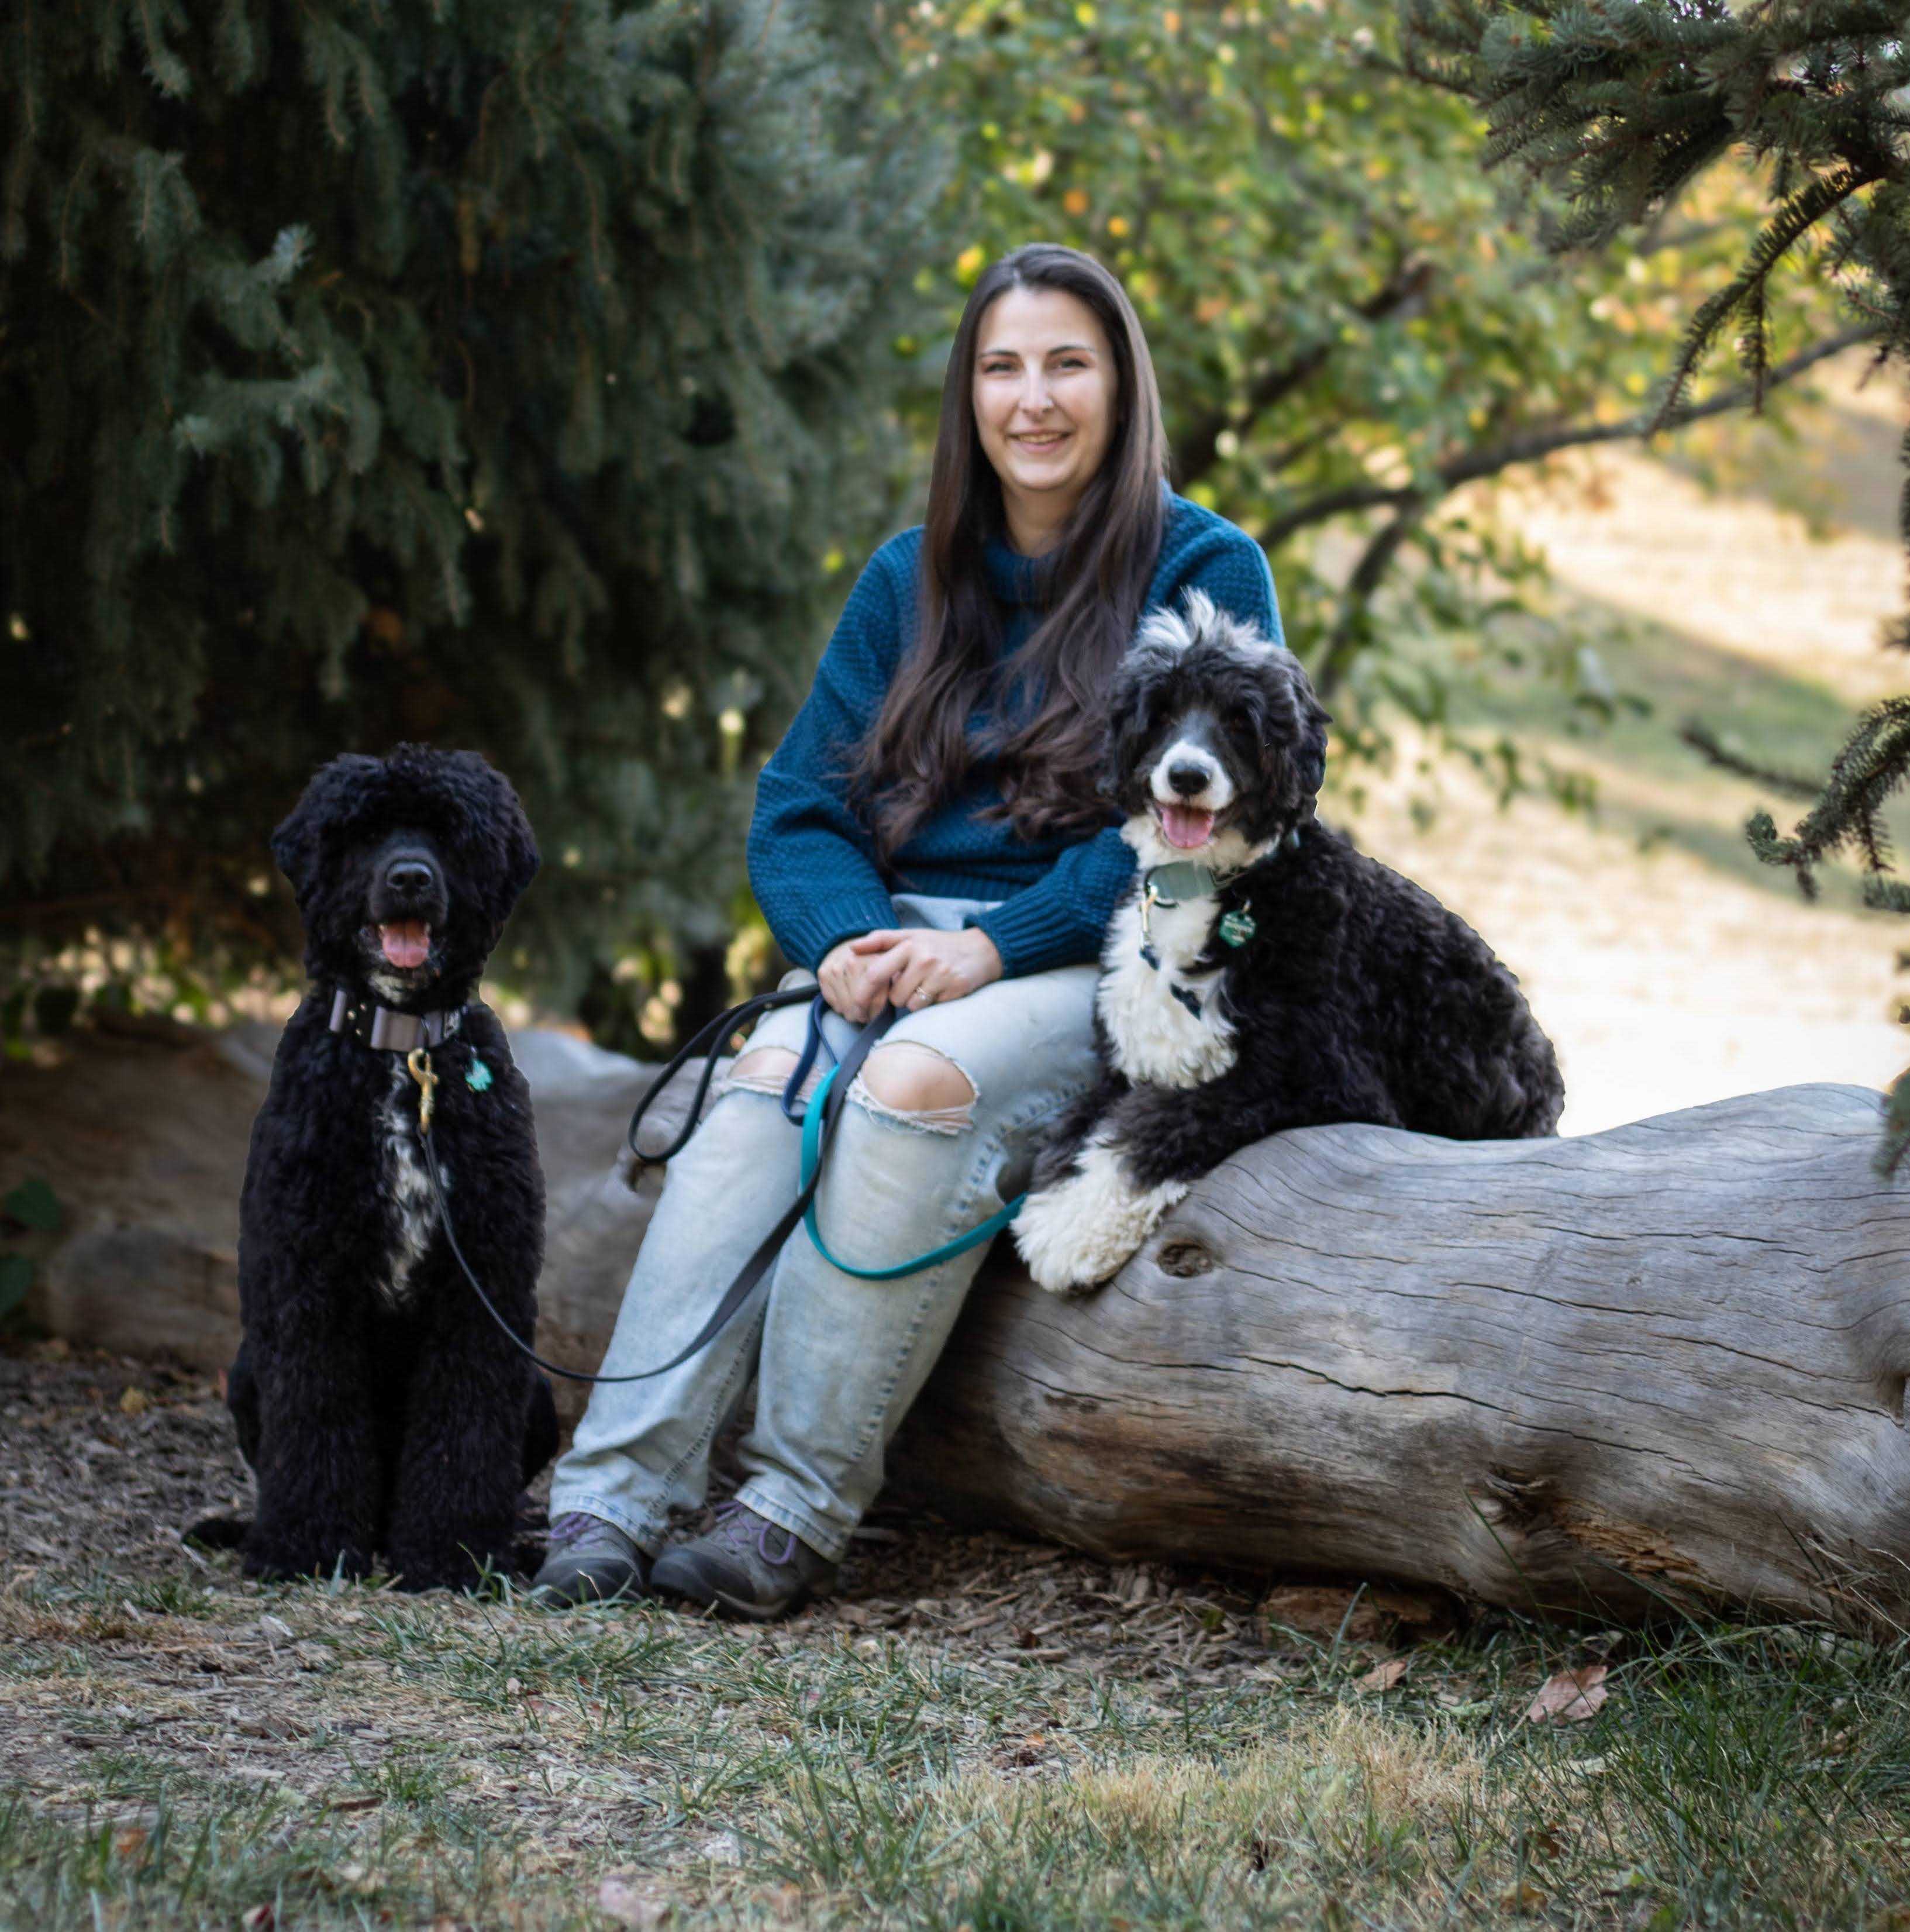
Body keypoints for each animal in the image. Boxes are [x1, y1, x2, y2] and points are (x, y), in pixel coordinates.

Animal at [223, 738, 556, 1584]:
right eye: (366, 831)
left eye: (448, 832)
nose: (410, 876)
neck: (403, 1055)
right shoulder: (307, 1283)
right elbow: (315, 1420)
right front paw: (303, 1545)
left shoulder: (482, 1287)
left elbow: (463, 1429)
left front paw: (452, 1553)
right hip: (245, 1371)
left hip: (538, 1390)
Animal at [1004, 598, 1560, 1298]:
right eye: (1161, 711)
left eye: (1241, 721)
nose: (1187, 775)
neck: (1218, 887)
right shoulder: (1124, 1064)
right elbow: (1077, 1124)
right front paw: (1059, 1198)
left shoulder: (1319, 1079)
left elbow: (1162, 1121)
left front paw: (1077, 1228)